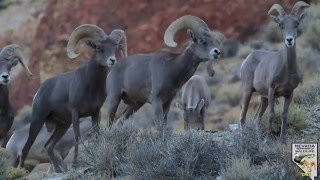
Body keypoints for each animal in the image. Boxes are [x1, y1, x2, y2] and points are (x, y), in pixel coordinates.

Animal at [18, 23, 127, 172]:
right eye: (99, 48)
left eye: (115, 48)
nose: (112, 60)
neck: (91, 86)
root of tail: (39, 92)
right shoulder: (76, 113)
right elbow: (77, 138)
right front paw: (75, 165)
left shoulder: (95, 113)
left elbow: (97, 135)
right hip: (37, 121)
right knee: (26, 149)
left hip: (62, 126)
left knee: (48, 146)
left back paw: (58, 170)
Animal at [239, 1, 308, 142]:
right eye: (281, 25)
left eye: (297, 23)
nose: (289, 40)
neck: (287, 71)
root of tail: (247, 59)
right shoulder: (272, 91)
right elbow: (271, 115)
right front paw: (268, 140)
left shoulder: (289, 94)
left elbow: (284, 115)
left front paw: (282, 140)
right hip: (248, 91)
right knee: (243, 116)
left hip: (263, 98)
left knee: (256, 119)